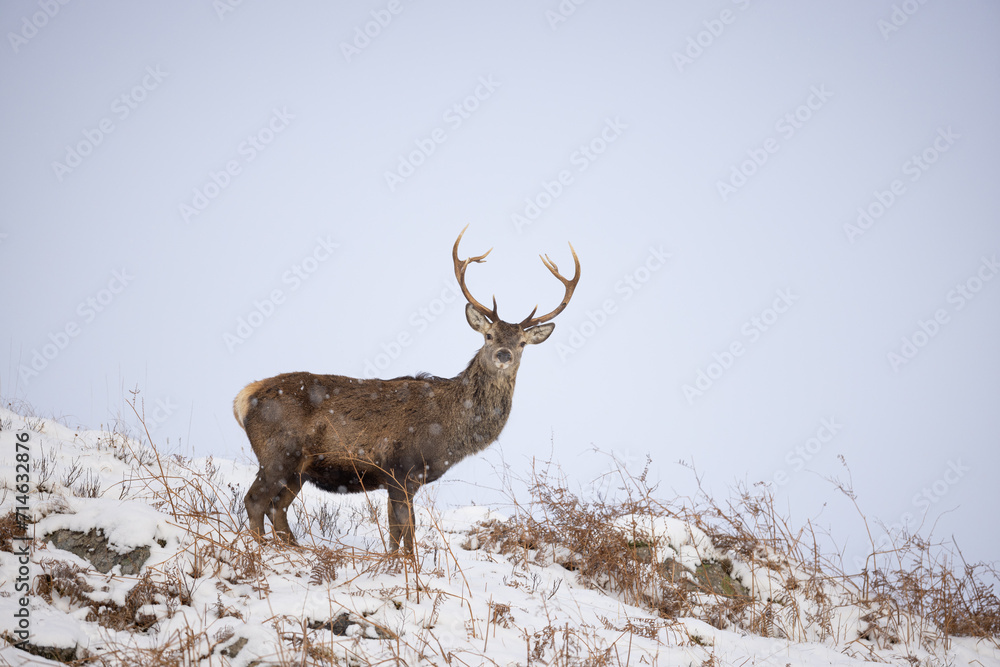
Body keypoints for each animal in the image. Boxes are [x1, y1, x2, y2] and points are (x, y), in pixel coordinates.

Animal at [233, 226, 580, 553]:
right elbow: (407, 531)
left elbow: (395, 533)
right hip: (278, 454)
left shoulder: (399, 480)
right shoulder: (401, 469)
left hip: (297, 470)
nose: (504, 355)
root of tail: (244, 397)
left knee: (277, 507)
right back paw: (260, 550)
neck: (449, 430)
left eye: (522, 343)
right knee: (255, 501)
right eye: (489, 335)